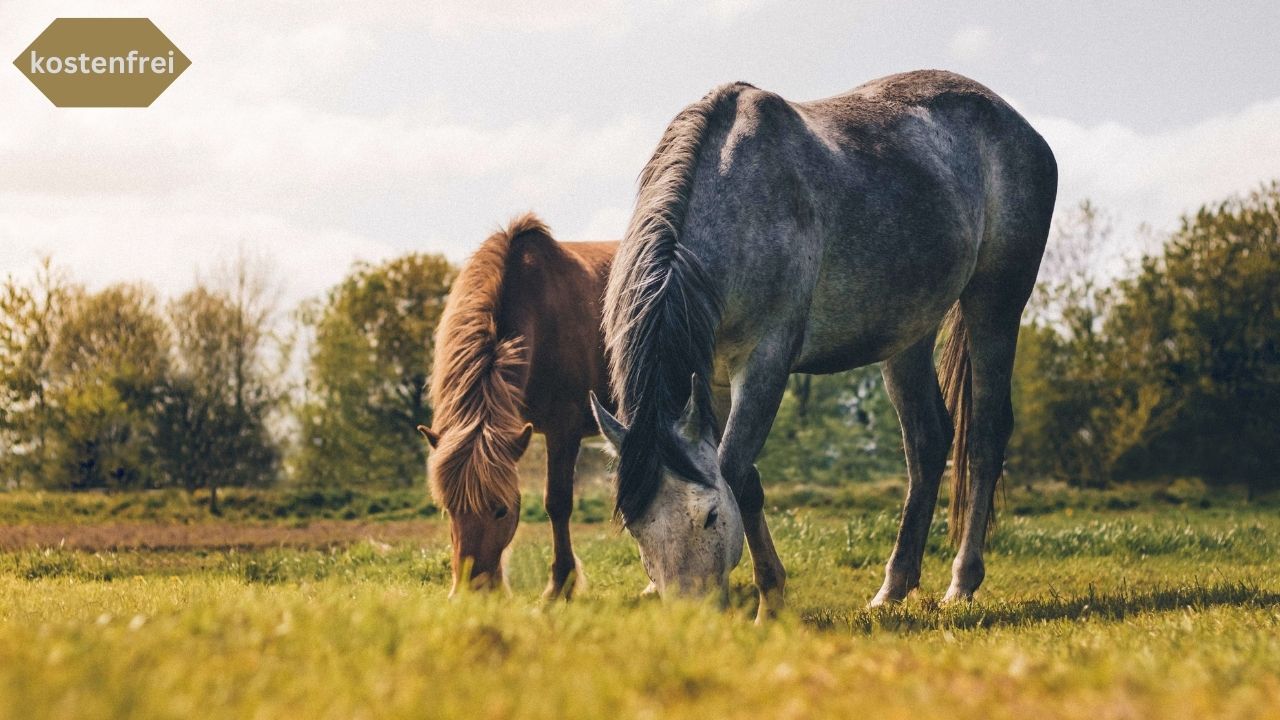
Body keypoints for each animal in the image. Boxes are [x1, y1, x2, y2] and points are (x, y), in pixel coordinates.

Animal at [417, 212, 616, 594]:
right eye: (449, 509)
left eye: (501, 510)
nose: (471, 592)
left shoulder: (563, 429)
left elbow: (557, 503)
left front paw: (560, 585)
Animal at [593, 71, 1054, 617]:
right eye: (636, 528)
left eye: (708, 516)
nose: (692, 617)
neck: (735, 200)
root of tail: (1020, 127)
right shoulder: (714, 379)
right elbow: (746, 480)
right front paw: (773, 593)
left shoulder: (765, 363)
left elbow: (734, 471)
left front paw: (769, 601)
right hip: (908, 335)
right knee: (927, 443)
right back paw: (893, 588)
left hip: (995, 304)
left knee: (983, 437)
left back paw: (962, 581)